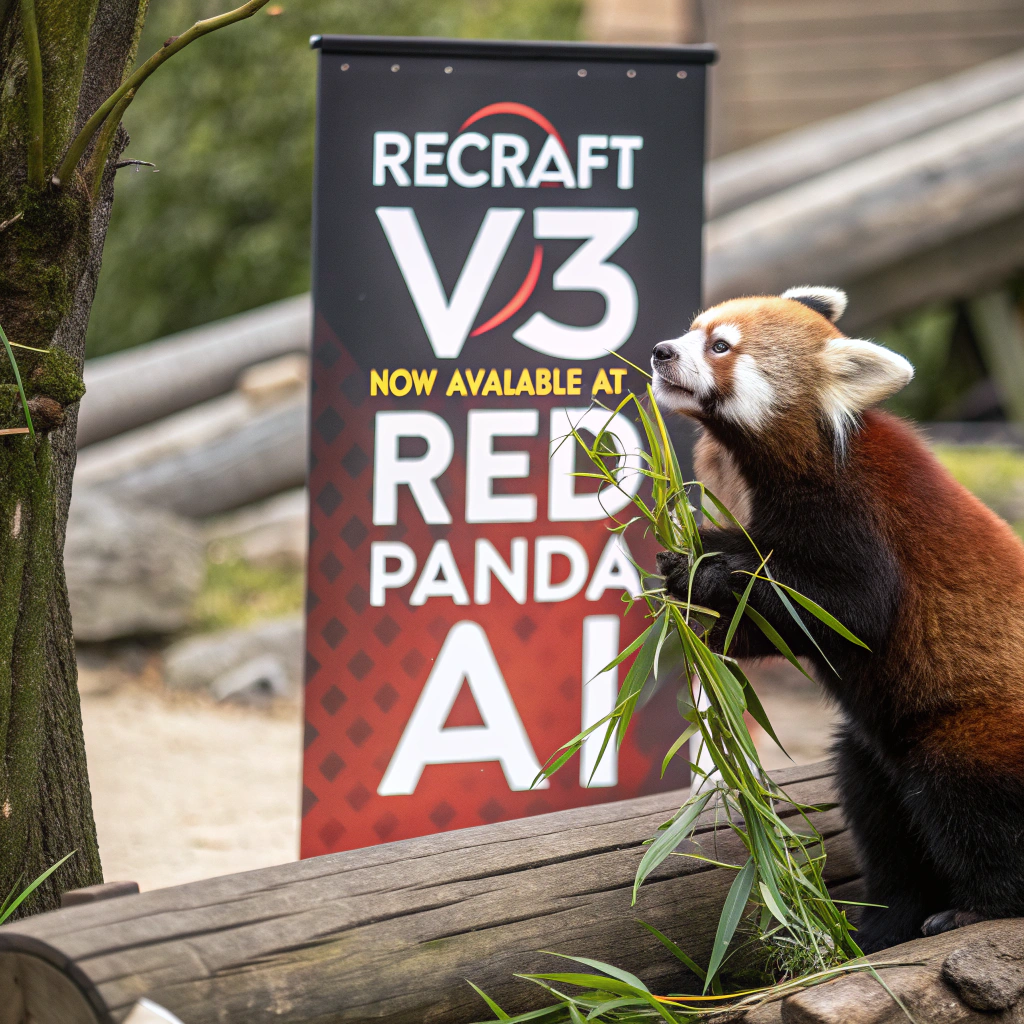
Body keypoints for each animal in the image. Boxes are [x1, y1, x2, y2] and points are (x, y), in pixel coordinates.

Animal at [651, 286, 1024, 954]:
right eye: (693, 330)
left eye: (720, 346)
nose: (662, 351)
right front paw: (688, 591)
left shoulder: (851, 509)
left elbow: (850, 612)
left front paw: (712, 573)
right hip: (875, 755)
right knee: (881, 814)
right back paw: (886, 920)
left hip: (973, 734)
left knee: (971, 809)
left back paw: (978, 909)